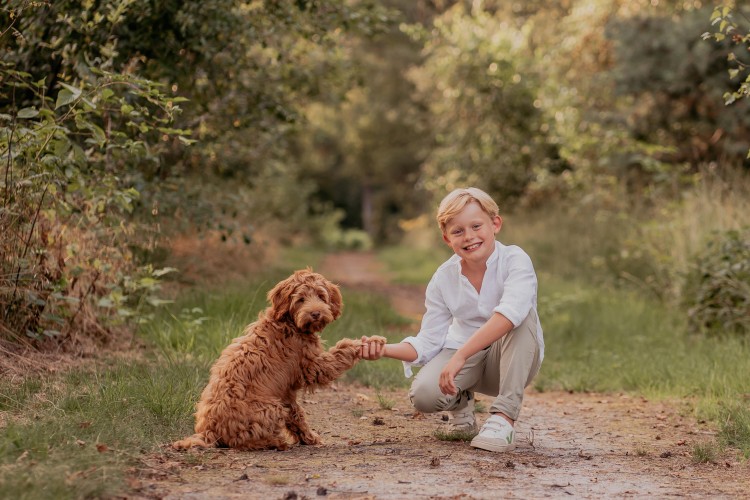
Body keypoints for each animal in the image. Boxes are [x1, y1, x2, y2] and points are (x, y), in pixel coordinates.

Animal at [173, 270, 384, 454]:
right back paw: (274, 442)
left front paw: (309, 438)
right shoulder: (311, 367)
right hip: (270, 408)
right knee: (241, 441)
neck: (289, 324)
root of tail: (209, 431)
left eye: (321, 296)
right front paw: (363, 344)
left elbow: (297, 414)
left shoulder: (286, 393)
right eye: (300, 299)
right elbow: (337, 355)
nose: (315, 313)